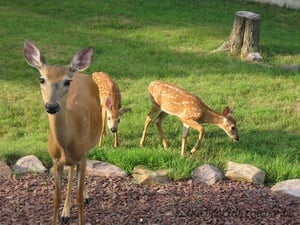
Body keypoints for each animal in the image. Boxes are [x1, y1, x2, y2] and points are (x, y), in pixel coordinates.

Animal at [23, 39, 101, 224]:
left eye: (67, 82)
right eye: (41, 79)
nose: (51, 106)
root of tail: (80, 73)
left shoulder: (82, 155)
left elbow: (78, 198)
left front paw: (81, 204)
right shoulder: (55, 160)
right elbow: (56, 198)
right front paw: (60, 213)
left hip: (89, 145)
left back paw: (84, 197)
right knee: (71, 171)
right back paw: (66, 212)